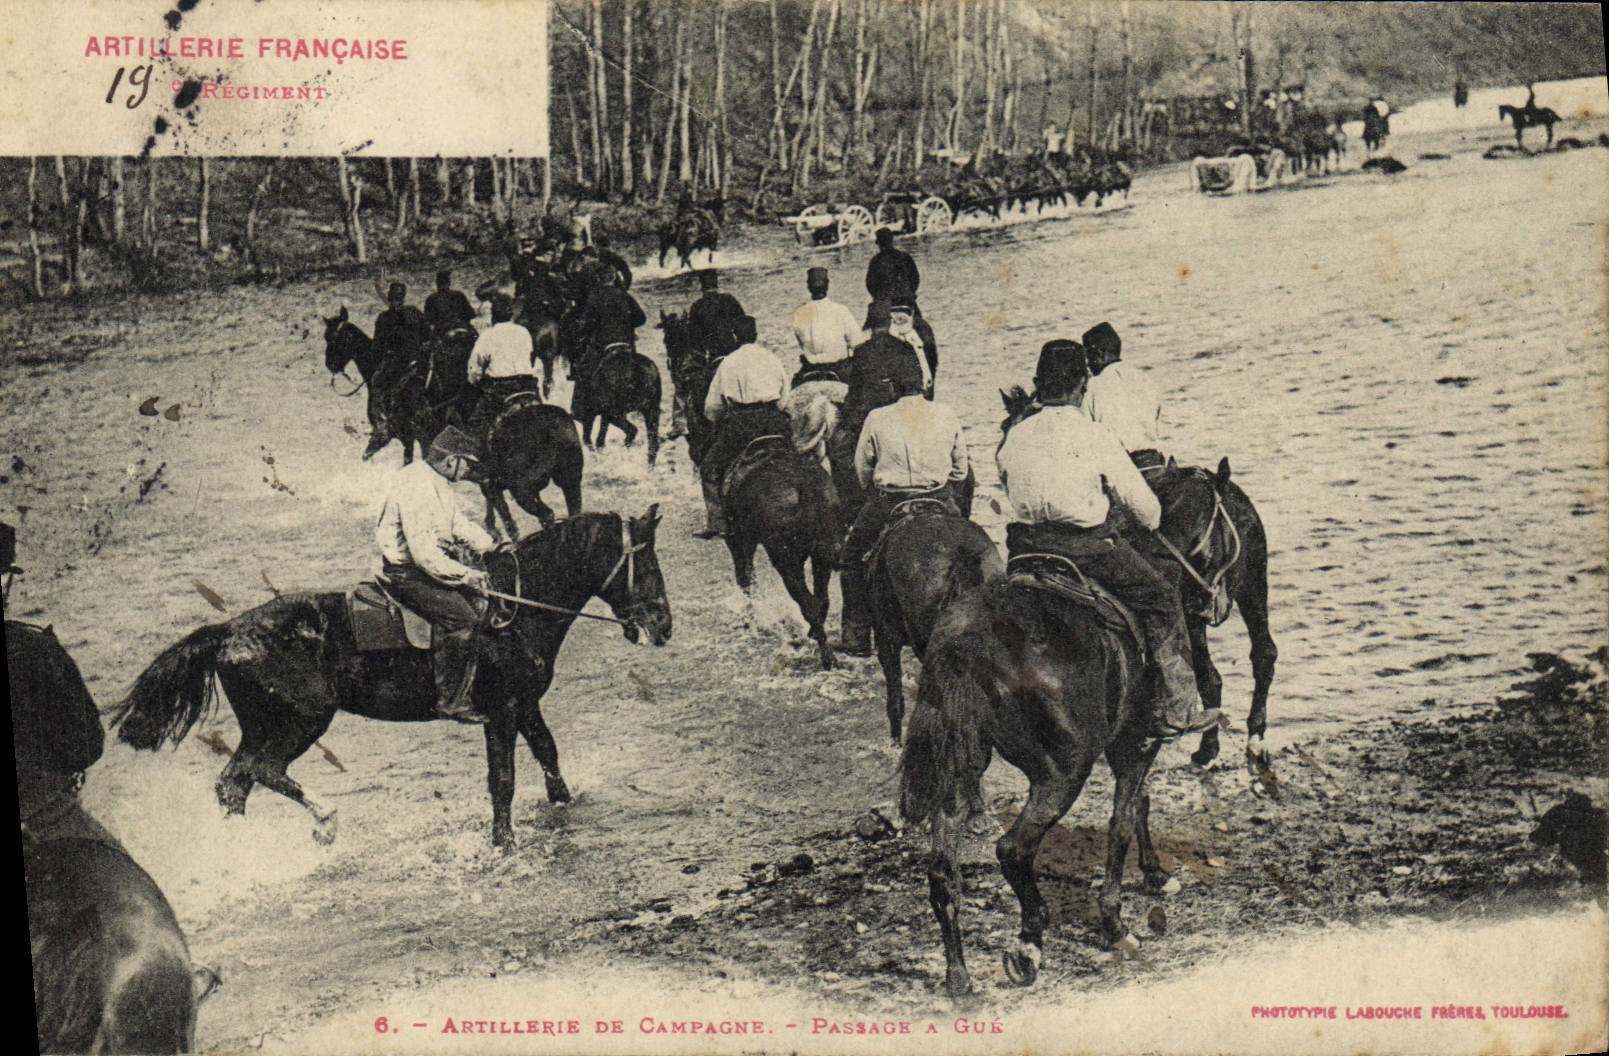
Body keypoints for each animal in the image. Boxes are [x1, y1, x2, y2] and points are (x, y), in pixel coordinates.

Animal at [112, 509, 671, 850]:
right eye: (645, 565)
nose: (663, 625)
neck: (515, 607)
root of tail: (229, 630)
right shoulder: (501, 713)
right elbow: (503, 780)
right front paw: (503, 843)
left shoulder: (525, 705)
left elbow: (549, 756)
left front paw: (564, 806)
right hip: (301, 722)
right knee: (261, 771)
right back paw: (326, 818)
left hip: (265, 725)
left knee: (235, 783)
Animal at [722, 440, 842, 670]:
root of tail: (804, 484)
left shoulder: (740, 540)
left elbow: (745, 578)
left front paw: (750, 618)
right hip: (822, 556)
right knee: (821, 600)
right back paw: (816, 637)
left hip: (785, 562)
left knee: (809, 604)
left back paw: (827, 656)